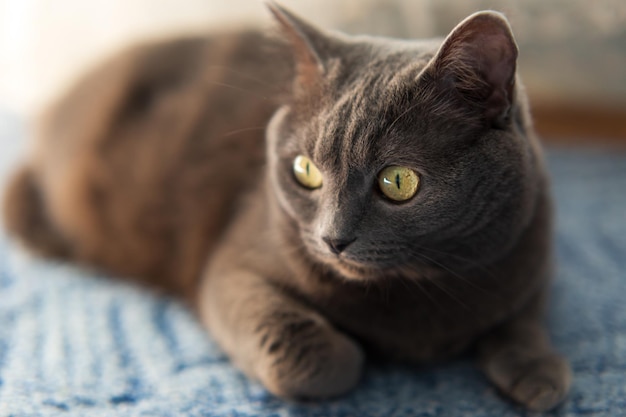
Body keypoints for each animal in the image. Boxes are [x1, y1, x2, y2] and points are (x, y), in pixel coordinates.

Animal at [2, 3, 572, 412]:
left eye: (398, 181)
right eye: (306, 172)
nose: (332, 239)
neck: (420, 295)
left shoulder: (527, 253)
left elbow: (523, 316)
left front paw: (539, 371)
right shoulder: (232, 268)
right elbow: (321, 360)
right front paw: (360, 352)